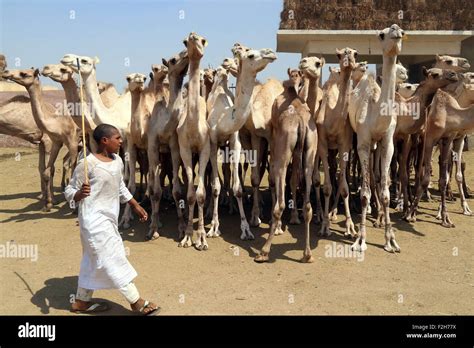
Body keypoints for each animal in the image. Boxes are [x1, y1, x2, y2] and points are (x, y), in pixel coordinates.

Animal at [3, 67, 79, 209]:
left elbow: (73, 168)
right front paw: (48, 204)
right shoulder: (56, 142)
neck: (56, 121)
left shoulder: (71, 141)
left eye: (24, 73)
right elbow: (47, 171)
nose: (6, 72)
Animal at [206, 45, 278, 242]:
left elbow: (238, 186)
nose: (271, 52)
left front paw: (246, 229)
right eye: (250, 55)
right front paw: (214, 227)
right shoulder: (212, 142)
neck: (225, 117)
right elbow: (215, 186)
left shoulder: (235, 141)